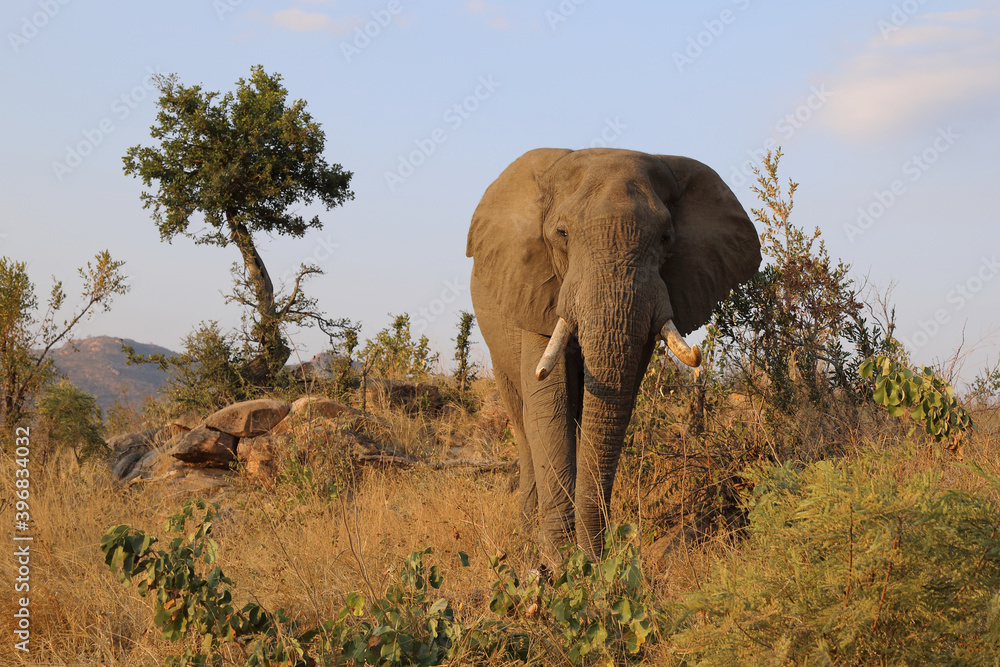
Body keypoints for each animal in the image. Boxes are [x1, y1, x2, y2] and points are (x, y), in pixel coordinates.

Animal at [466, 147, 761, 560]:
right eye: (562, 234)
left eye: (666, 238)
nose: (596, 557)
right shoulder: (538, 287)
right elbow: (549, 402)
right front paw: (558, 561)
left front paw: (578, 559)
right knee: (522, 422)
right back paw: (525, 533)